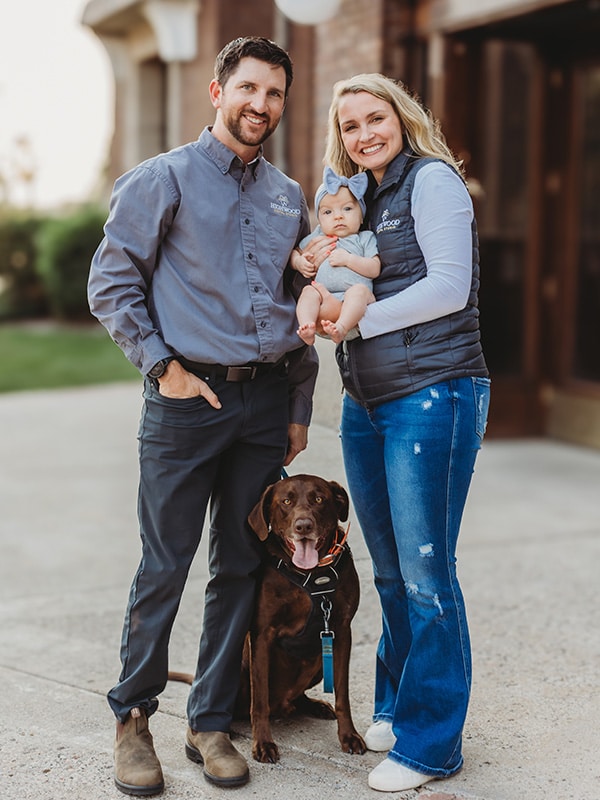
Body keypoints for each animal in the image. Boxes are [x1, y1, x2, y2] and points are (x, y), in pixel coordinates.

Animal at [240, 472, 366, 764]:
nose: (303, 525)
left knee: (298, 698)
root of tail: (282, 705)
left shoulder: (341, 631)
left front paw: (349, 736)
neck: (311, 574)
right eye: (285, 501)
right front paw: (263, 743)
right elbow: (259, 699)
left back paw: (315, 705)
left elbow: (343, 694)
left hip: (320, 661)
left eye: (319, 499)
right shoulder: (261, 634)